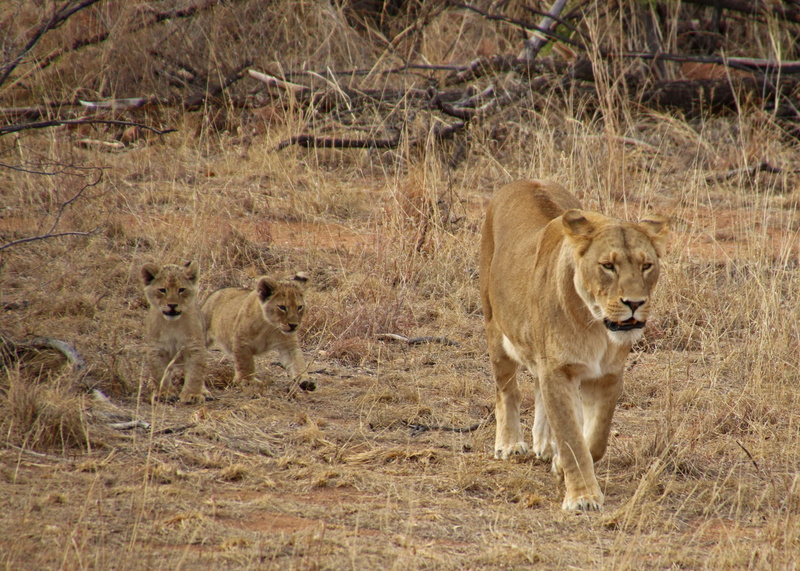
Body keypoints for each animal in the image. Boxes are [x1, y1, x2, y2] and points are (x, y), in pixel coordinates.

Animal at [141, 261, 210, 404]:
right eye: (162, 290)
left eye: (181, 290)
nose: (172, 305)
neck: (172, 325)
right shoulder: (156, 349)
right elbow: (159, 374)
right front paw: (165, 393)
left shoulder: (195, 347)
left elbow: (195, 373)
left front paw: (192, 395)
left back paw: (204, 391)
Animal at [479, 180, 668, 511]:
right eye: (608, 266)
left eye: (647, 265)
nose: (635, 304)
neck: (596, 327)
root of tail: (524, 181)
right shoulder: (558, 369)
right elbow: (571, 436)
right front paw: (583, 498)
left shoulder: (607, 374)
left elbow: (595, 438)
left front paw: (559, 464)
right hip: (495, 328)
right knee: (507, 390)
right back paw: (510, 444)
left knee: (537, 388)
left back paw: (544, 446)